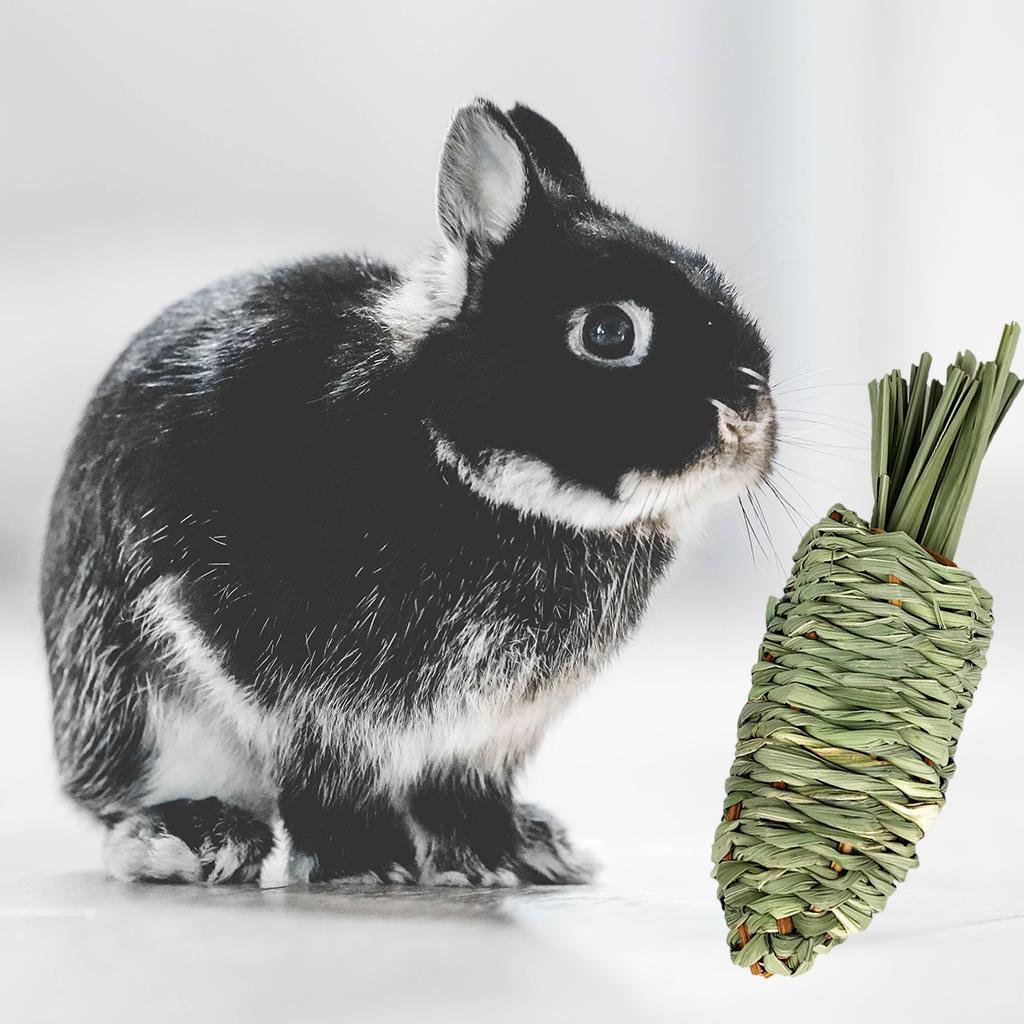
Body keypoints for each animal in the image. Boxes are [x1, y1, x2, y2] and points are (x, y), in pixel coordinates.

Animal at [41, 99, 776, 887]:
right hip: (142, 709)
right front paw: (362, 867)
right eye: (609, 331)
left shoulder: (485, 737)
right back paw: (198, 840)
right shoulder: (307, 700)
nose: (747, 413)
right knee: (125, 809)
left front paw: (498, 861)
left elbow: (461, 794)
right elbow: (329, 779)